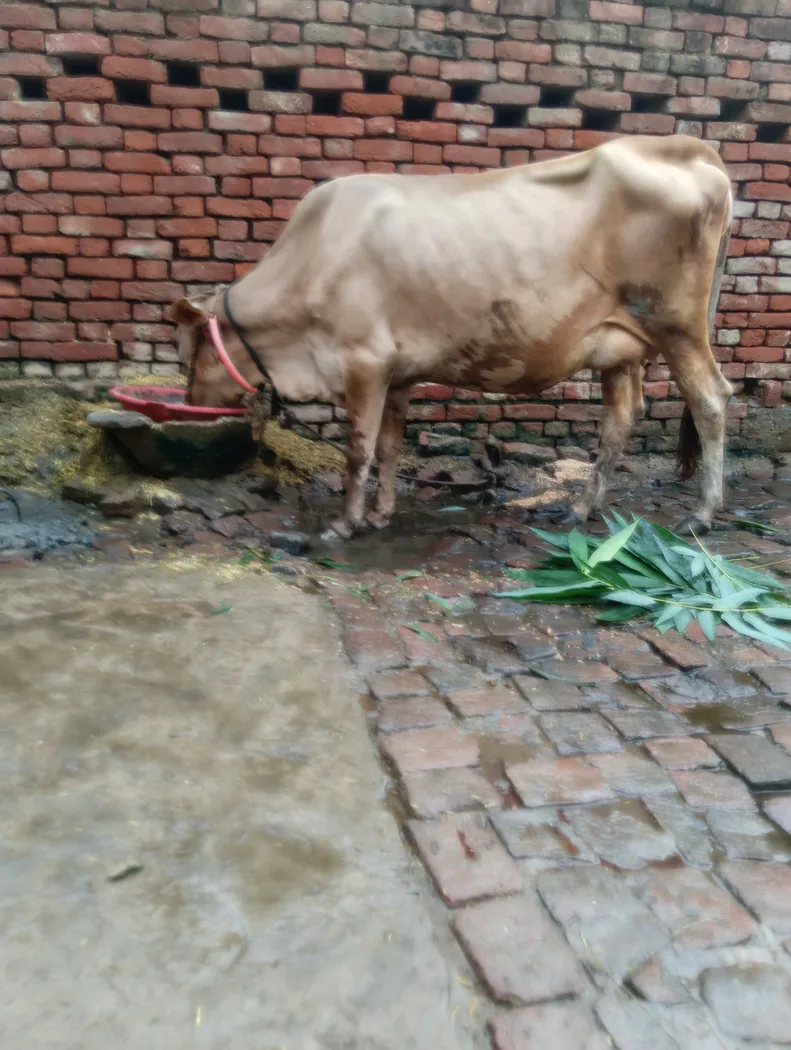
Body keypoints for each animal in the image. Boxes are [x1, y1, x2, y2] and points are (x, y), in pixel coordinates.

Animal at [169, 133, 734, 541]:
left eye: (184, 354)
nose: (189, 402)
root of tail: (687, 148)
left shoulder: (363, 361)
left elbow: (359, 449)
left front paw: (344, 524)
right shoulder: (397, 373)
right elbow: (390, 446)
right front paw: (380, 514)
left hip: (676, 325)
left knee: (710, 400)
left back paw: (701, 515)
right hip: (620, 344)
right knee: (622, 418)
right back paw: (579, 508)